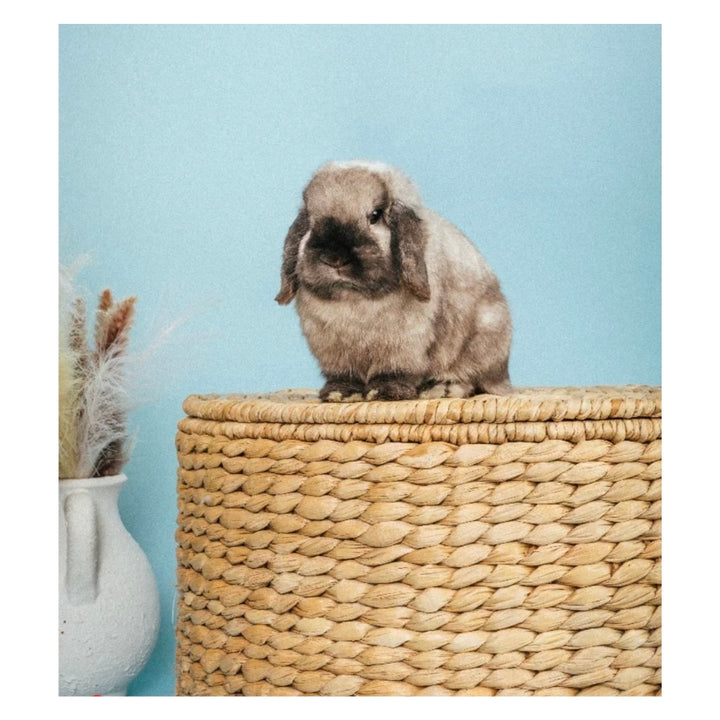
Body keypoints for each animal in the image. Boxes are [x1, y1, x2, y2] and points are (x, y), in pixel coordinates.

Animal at [276, 160, 512, 402]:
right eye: (311, 219)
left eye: (375, 215)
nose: (334, 258)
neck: (355, 299)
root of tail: (503, 375)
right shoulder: (333, 351)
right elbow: (344, 374)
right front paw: (340, 393)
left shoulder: (403, 344)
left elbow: (394, 370)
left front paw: (384, 392)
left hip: (481, 343)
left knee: (470, 378)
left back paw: (441, 389)